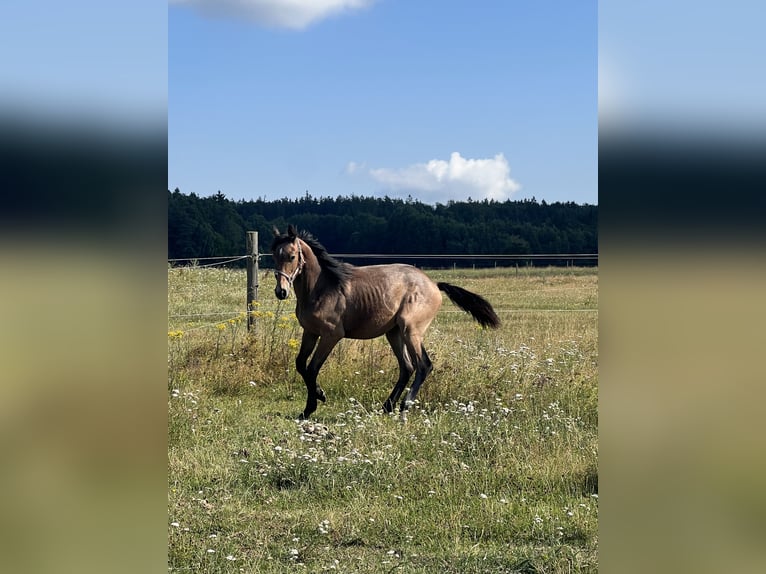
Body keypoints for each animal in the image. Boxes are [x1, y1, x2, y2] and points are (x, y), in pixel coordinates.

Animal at [270, 225, 501, 420]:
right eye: (274, 255)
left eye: (292, 256)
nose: (281, 292)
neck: (322, 288)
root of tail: (434, 284)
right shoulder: (310, 332)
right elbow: (301, 364)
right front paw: (316, 397)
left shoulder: (331, 335)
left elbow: (312, 368)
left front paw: (312, 406)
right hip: (395, 332)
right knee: (407, 367)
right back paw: (386, 407)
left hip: (410, 330)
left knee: (423, 365)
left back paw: (404, 408)